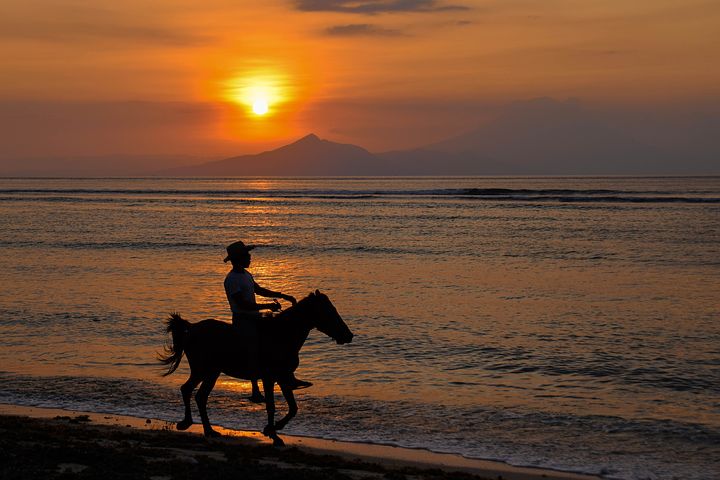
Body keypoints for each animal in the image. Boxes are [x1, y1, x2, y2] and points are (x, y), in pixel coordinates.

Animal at [159, 290, 352, 444]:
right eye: (329, 311)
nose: (348, 335)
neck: (281, 336)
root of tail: (191, 328)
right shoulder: (270, 378)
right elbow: (272, 406)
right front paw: (273, 434)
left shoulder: (283, 378)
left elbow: (293, 408)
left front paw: (273, 429)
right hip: (204, 370)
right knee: (191, 392)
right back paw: (193, 425)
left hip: (210, 372)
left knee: (196, 394)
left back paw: (205, 429)